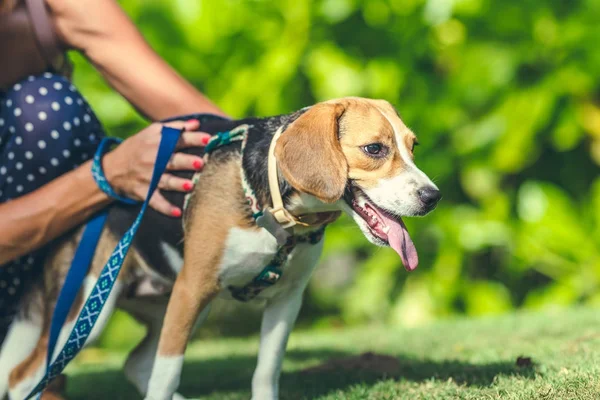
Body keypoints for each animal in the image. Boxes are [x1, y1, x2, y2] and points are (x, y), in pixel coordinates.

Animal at [0, 97, 440, 400]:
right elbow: (166, 374)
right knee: (25, 377)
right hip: (91, 309)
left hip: (176, 306)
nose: (432, 196)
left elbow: (266, 371)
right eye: (374, 149)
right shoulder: (192, 287)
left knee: (135, 363)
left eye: (413, 147)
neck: (276, 210)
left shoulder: (287, 299)